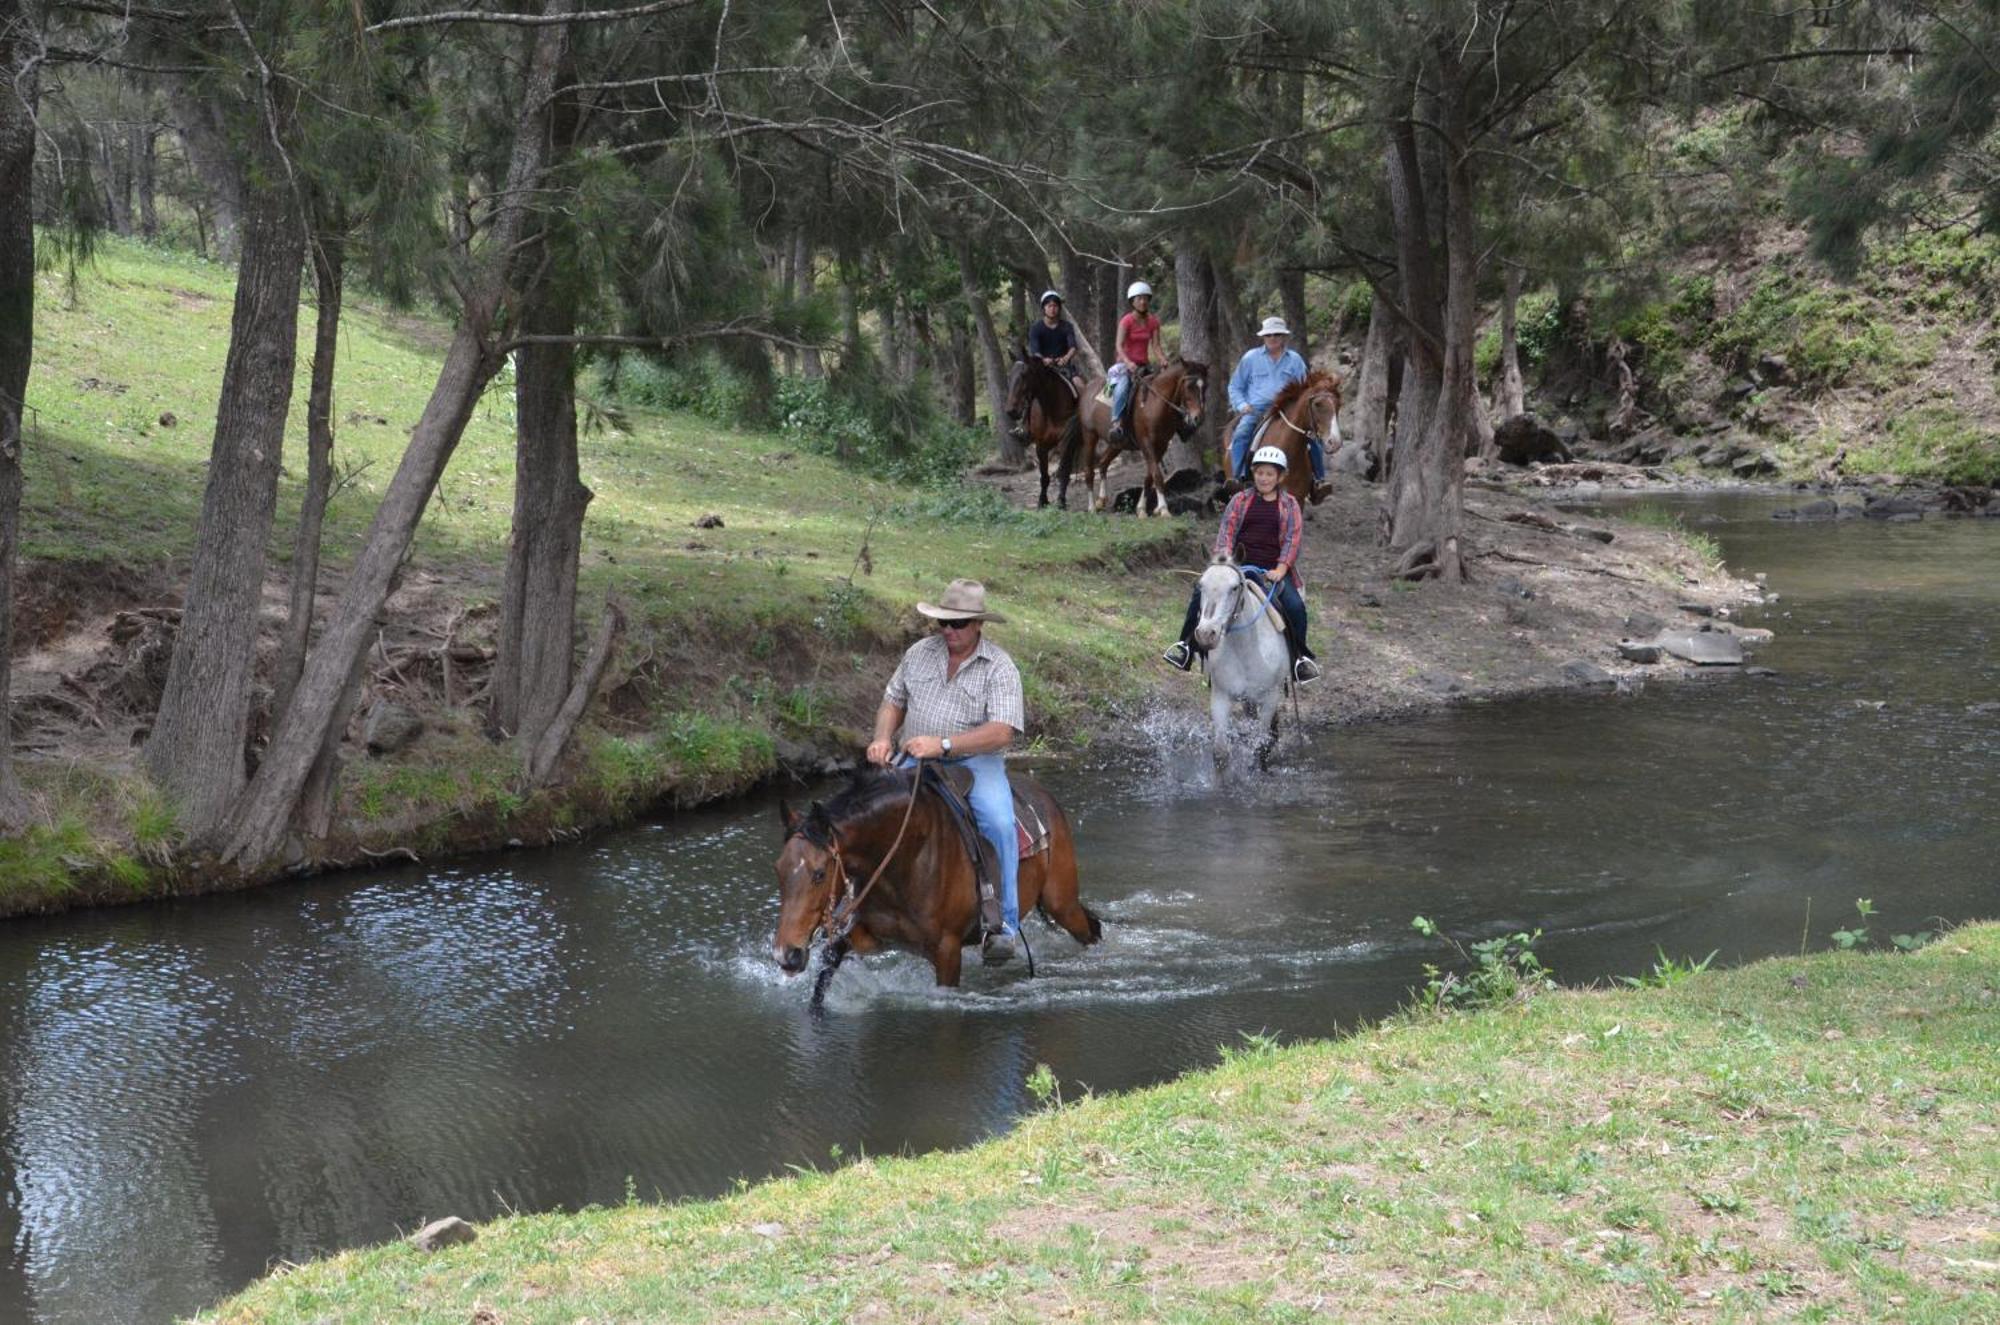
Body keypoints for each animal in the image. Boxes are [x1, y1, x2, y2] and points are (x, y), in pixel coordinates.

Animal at [768, 768, 1112, 996]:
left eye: (819, 874)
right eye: (778, 870)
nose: (786, 955)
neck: (903, 859)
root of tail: (1045, 797)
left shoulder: (947, 951)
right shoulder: (867, 938)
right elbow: (824, 979)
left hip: (1061, 902)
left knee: (1089, 928)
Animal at [1000, 352, 1080, 508]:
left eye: (1024, 375)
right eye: (1009, 376)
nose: (1011, 411)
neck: (1051, 408)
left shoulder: (1065, 442)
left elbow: (1064, 471)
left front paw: (1061, 500)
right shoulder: (1041, 445)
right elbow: (1044, 475)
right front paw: (1042, 500)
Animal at [1064, 360, 1200, 520]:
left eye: (1205, 386)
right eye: (1189, 386)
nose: (1197, 417)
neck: (1154, 403)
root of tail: (1086, 390)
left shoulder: (1162, 445)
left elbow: (1149, 477)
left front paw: (1143, 510)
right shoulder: (1147, 443)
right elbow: (1157, 475)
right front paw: (1164, 510)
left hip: (1117, 443)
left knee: (1103, 463)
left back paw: (1101, 500)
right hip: (1089, 435)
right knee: (1089, 471)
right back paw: (1091, 507)